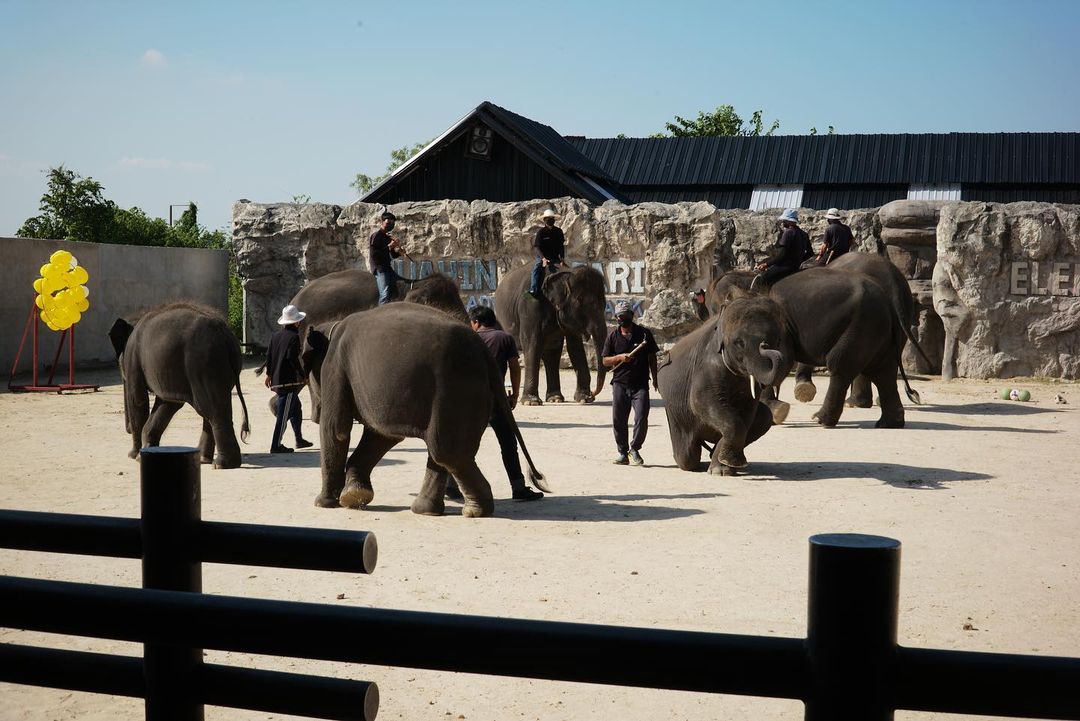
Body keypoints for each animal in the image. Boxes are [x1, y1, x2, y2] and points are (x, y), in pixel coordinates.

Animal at [110, 302, 252, 468]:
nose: (127, 429)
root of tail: (227, 338)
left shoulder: (133, 359)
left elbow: (138, 400)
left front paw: (134, 455)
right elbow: (168, 404)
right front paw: (143, 453)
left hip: (204, 365)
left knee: (212, 410)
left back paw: (221, 464)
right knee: (211, 408)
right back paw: (204, 459)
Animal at [298, 302, 544, 515]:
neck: (333, 325)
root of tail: (484, 353)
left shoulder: (335, 368)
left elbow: (337, 430)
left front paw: (325, 503)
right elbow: (382, 436)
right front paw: (355, 497)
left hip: (454, 389)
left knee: (444, 450)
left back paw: (473, 511)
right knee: (443, 450)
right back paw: (428, 510)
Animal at [494, 263, 609, 405]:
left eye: (604, 303)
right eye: (579, 301)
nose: (593, 394)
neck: (565, 272)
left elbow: (575, 347)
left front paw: (584, 399)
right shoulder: (530, 307)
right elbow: (532, 344)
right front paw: (531, 402)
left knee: (552, 353)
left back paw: (555, 399)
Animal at [652, 295, 790, 474]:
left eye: (778, 340)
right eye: (739, 342)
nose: (764, 345)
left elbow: (747, 412)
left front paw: (724, 468)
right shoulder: (708, 363)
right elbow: (700, 402)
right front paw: (725, 467)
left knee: (765, 416)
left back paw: (711, 459)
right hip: (674, 412)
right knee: (687, 456)